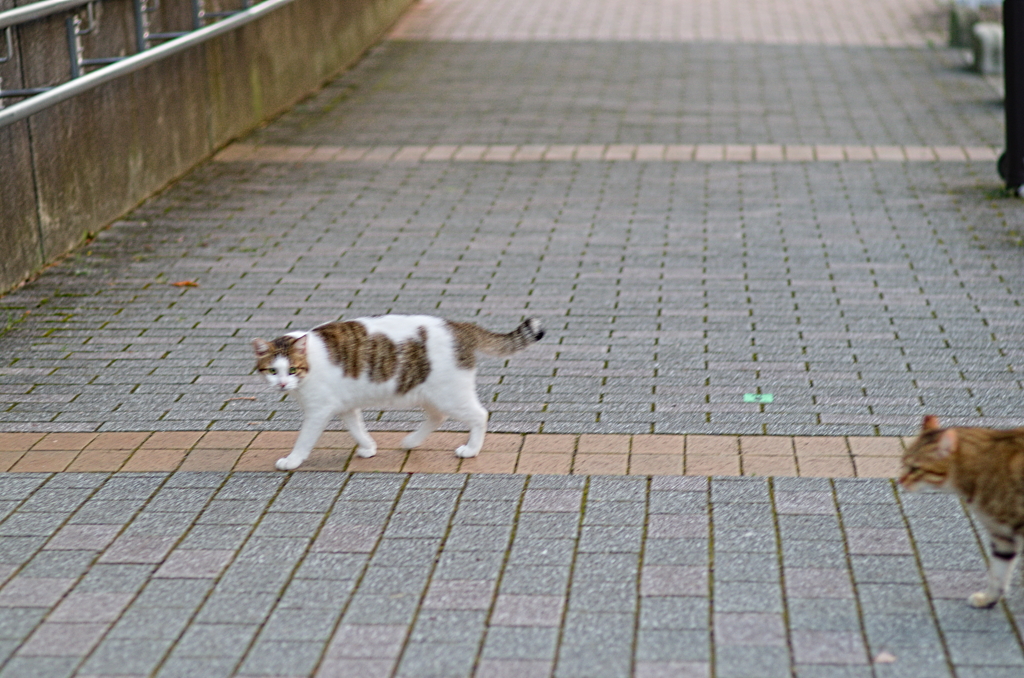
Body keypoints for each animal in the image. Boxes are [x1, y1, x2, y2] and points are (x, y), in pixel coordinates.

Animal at [250, 315, 544, 471]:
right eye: (273, 371)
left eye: (292, 369)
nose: (282, 384)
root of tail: (457, 325)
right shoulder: (346, 406)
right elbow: (357, 428)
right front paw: (368, 447)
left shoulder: (318, 411)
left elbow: (304, 439)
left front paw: (292, 460)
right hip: (428, 392)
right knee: (437, 417)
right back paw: (411, 441)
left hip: (449, 394)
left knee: (480, 415)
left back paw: (471, 449)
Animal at [901, 413, 1024, 610]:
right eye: (903, 462)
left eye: (915, 468)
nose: (900, 480)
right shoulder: (1001, 535)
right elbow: (998, 573)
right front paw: (989, 599)